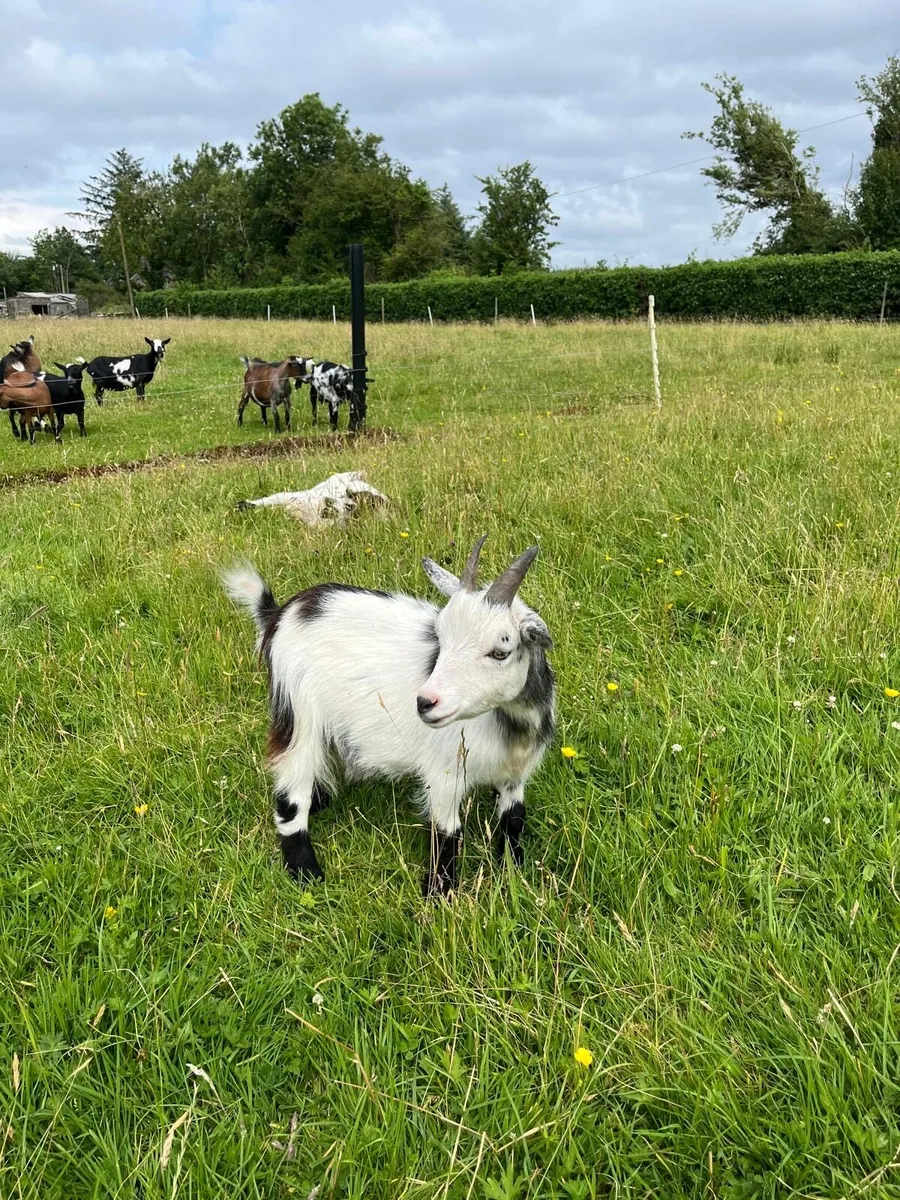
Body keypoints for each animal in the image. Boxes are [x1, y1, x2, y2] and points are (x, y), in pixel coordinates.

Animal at [223, 536, 555, 896]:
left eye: (500, 652)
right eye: (440, 638)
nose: (424, 703)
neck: (510, 726)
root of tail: (282, 612)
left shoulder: (516, 775)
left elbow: (513, 820)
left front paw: (514, 873)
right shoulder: (445, 774)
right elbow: (447, 834)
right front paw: (438, 895)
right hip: (298, 713)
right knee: (291, 792)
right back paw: (306, 874)